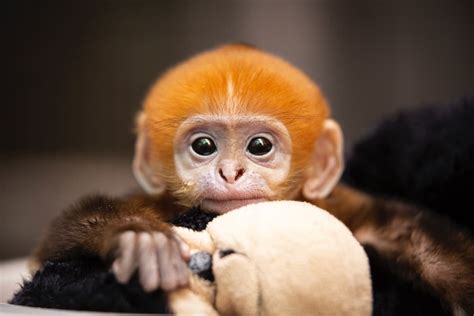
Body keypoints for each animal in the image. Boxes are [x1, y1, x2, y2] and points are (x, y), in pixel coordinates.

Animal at [34, 44, 474, 314]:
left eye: (259, 146)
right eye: (204, 146)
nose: (230, 172)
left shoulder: (347, 207)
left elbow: (415, 238)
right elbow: (52, 249)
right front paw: (139, 241)